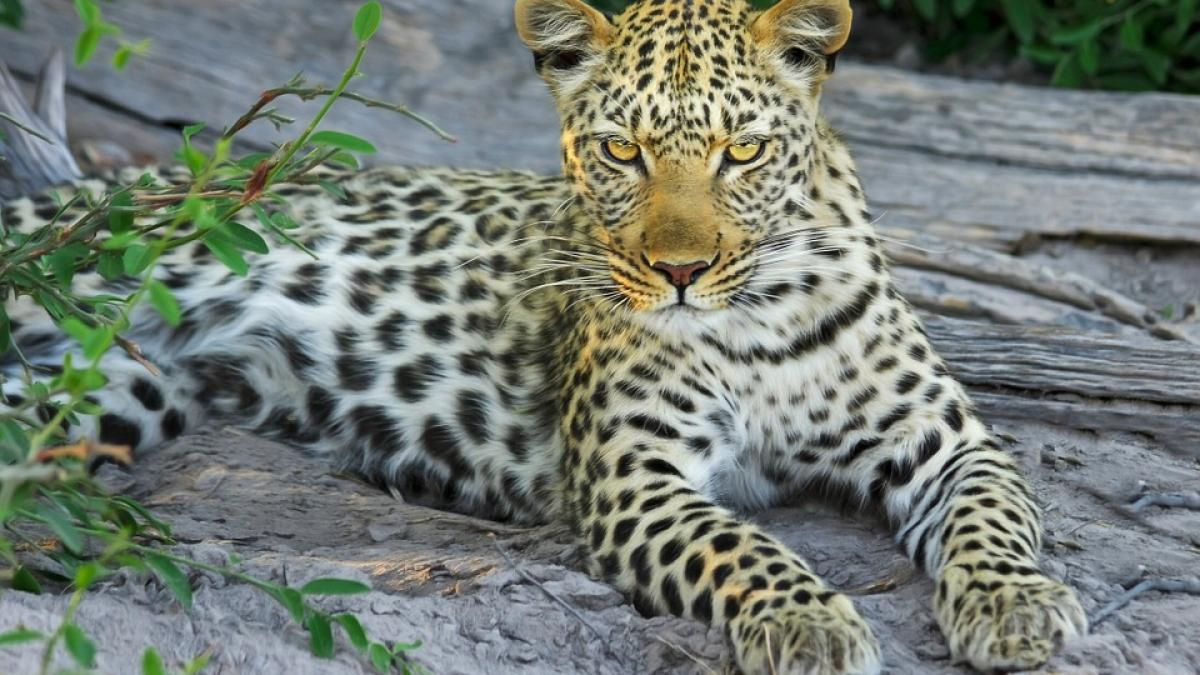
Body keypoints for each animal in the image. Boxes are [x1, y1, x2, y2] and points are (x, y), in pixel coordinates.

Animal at [0, 0, 1088, 672]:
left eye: (742, 152)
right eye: (621, 151)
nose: (680, 272)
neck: (760, 312)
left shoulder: (949, 442)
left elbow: (993, 519)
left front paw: (1017, 605)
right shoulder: (633, 476)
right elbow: (742, 545)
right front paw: (807, 618)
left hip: (115, 390)